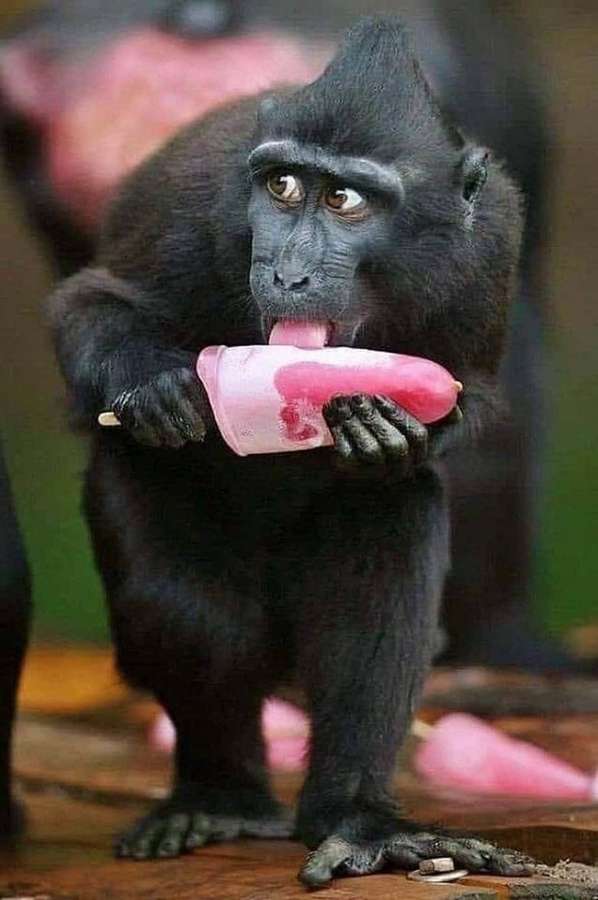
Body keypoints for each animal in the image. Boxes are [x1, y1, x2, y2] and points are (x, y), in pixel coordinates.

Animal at [48, 17, 535, 885]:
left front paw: (386, 428)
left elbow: (467, 393)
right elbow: (89, 302)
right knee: (189, 610)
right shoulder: (192, 200)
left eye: (345, 200)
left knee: (385, 547)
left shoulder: (493, 245)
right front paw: (153, 386)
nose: (288, 271)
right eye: (281, 189)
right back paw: (222, 796)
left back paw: (355, 819)